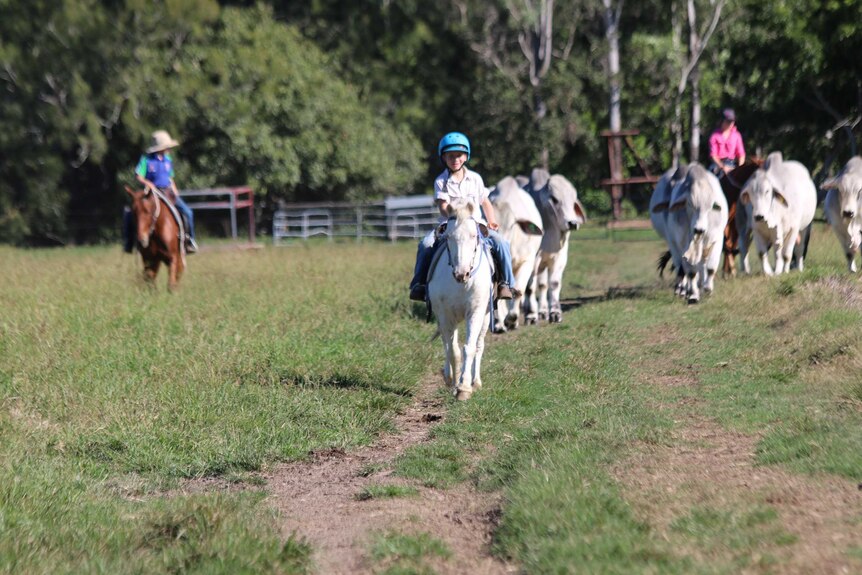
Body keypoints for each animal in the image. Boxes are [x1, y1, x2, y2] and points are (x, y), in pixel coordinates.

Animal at [430, 205, 496, 402]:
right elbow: (453, 350)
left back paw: (476, 381)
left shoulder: (475, 312)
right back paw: (450, 376)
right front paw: (454, 382)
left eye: (474, 236)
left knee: (479, 345)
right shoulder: (445, 315)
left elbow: (469, 348)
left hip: (485, 317)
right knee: (446, 343)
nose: (462, 273)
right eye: (448, 237)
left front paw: (464, 387)